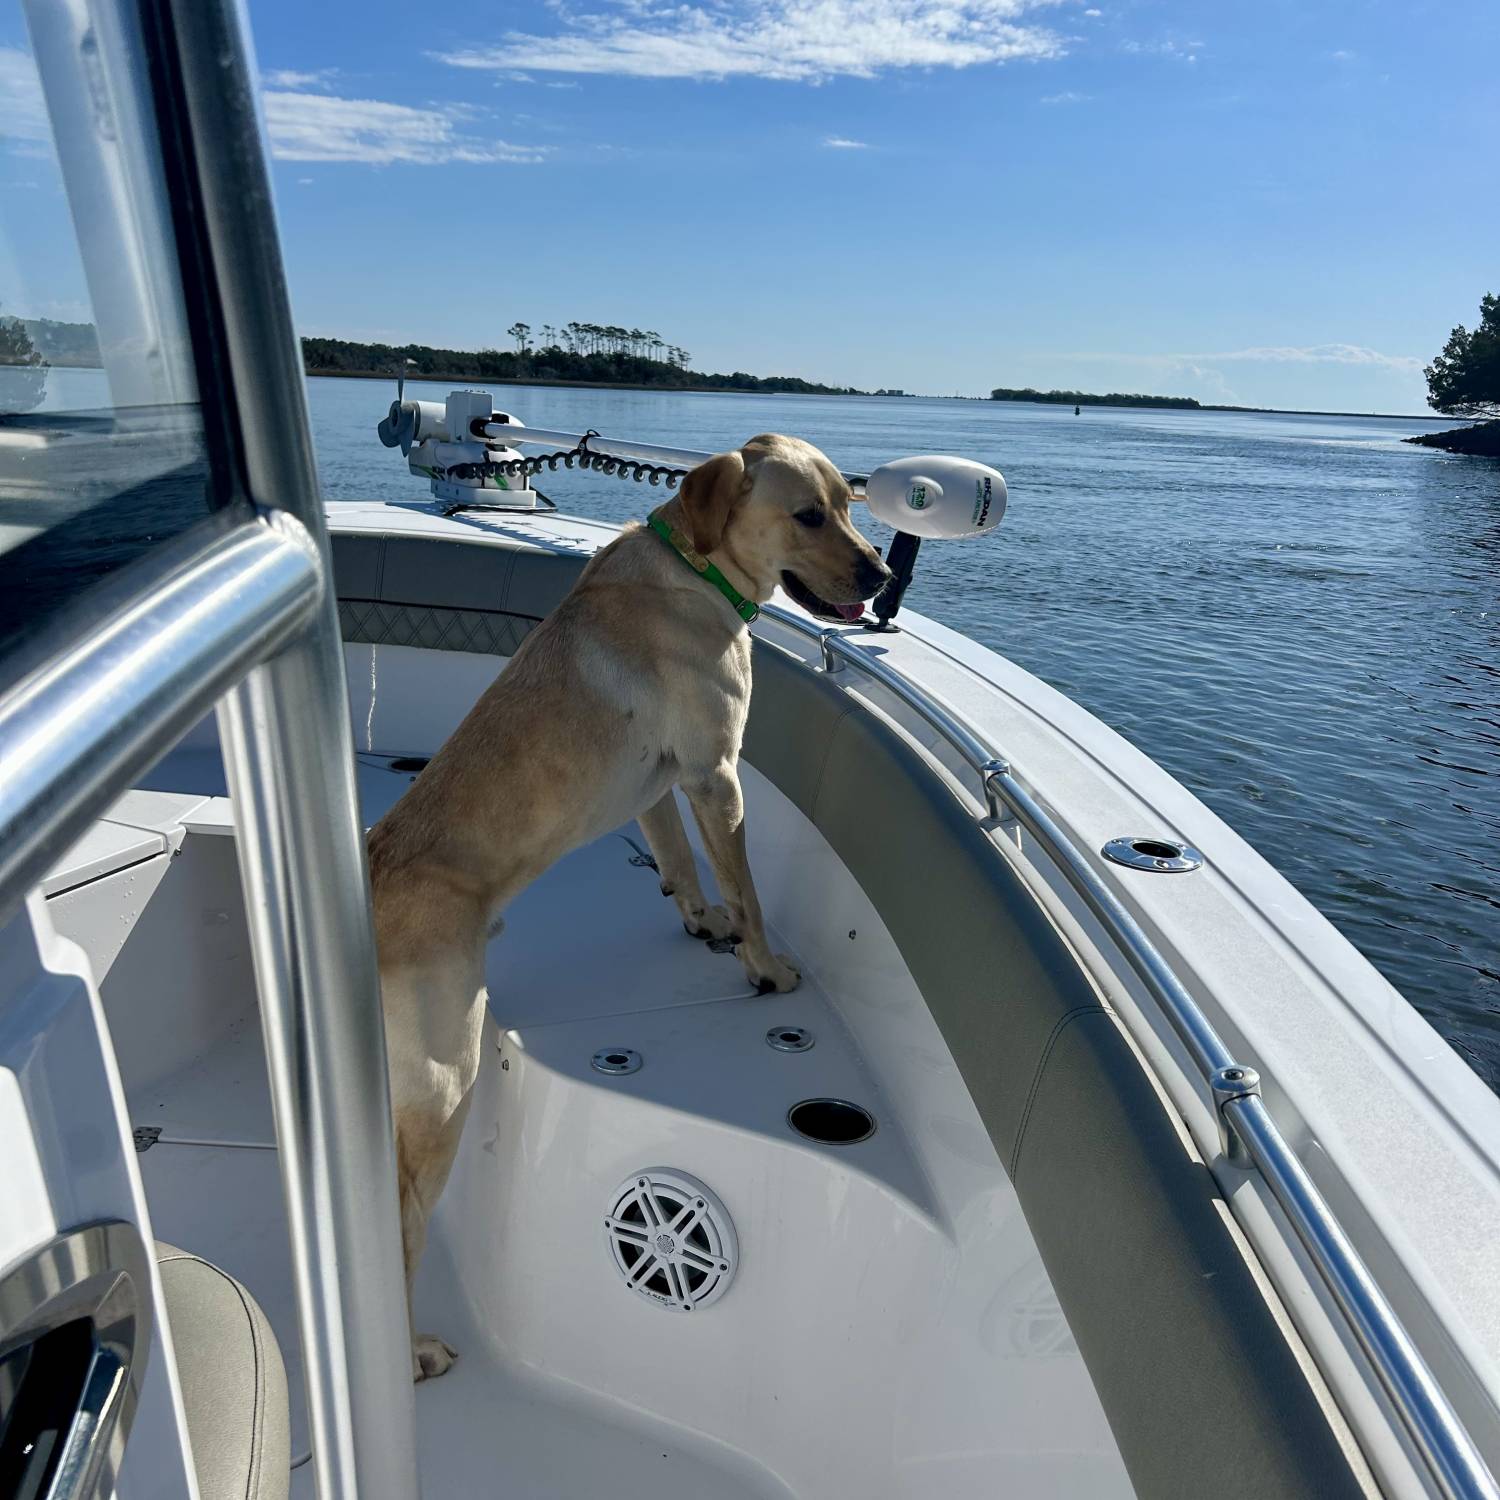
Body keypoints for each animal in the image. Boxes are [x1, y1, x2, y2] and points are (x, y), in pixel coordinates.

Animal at [364, 429, 888, 1374]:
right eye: (807, 515)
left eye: (851, 506)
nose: (882, 573)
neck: (697, 565)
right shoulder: (718, 775)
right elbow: (747, 888)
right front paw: (764, 965)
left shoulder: (664, 785)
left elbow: (680, 860)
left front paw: (701, 921)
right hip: (445, 1082)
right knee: (403, 1224)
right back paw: (415, 1353)